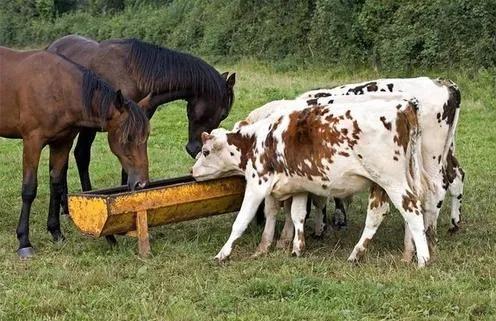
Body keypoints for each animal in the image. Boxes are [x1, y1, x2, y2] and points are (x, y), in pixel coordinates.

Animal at [0, 46, 150, 258]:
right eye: (127, 137)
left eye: (146, 136)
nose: (141, 183)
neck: (58, 89)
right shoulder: (32, 142)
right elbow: (29, 189)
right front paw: (24, 242)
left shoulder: (62, 143)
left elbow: (56, 184)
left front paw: (56, 232)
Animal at [192, 99, 432, 266]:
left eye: (206, 151)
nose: (192, 171)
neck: (257, 140)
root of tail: (402, 106)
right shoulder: (297, 185)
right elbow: (296, 215)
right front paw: (294, 247)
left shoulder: (257, 185)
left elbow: (241, 221)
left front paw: (223, 253)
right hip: (388, 182)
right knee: (381, 213)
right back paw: (378, 254)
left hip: (392, 181)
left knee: (410, 209)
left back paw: (423, 259)